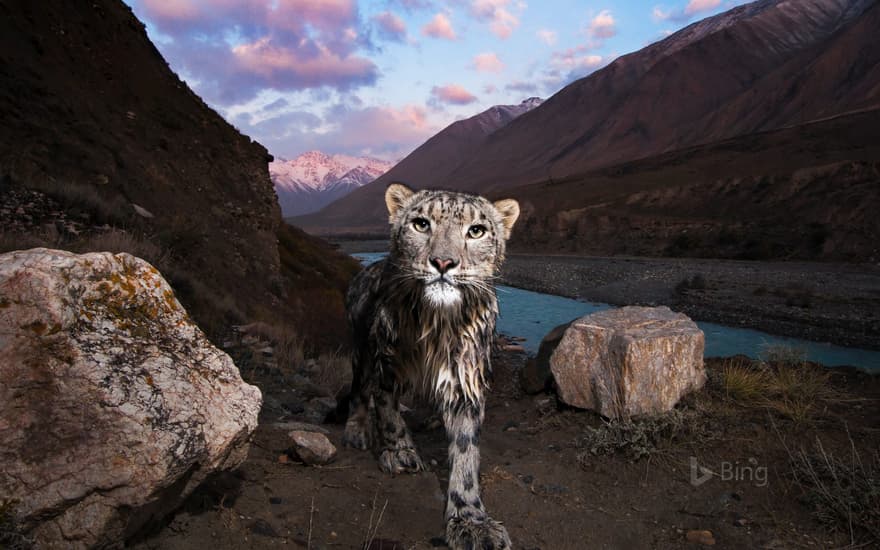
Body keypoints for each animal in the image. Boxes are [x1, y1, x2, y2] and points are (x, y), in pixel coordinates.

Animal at [344, 183, 520, 548]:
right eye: (421, 224)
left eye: (477, 230)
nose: (443, 262)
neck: (437, 325)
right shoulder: (387, 365)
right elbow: (388, 412)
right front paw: (399, 452)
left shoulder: (465, 381)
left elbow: (466, 452)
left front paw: (471, 520)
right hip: (362, 352)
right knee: (358, 392)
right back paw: (356, 430)